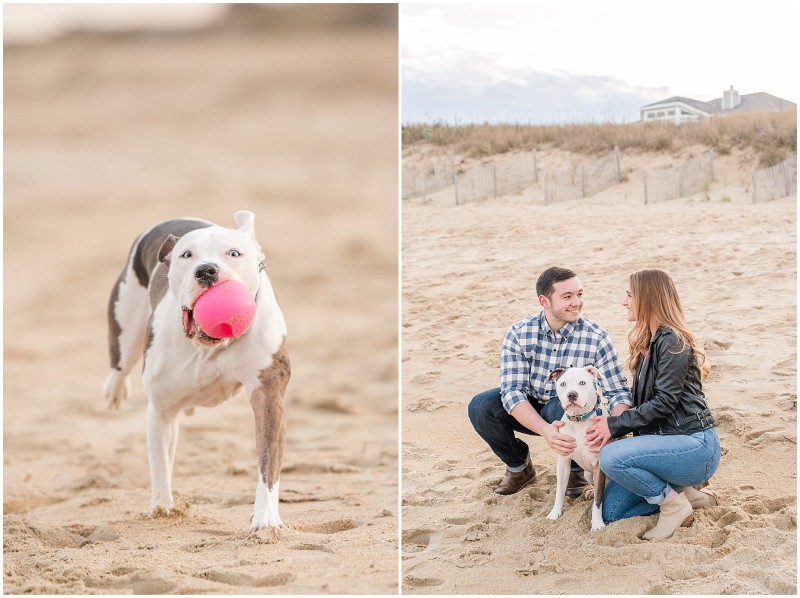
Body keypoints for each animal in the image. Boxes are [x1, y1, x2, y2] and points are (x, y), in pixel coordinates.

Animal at [103, 212, 290, 536]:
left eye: (234, 253)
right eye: (186, 255)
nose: (206, 271)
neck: (210, 346)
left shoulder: (268, 396)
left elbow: (267, 464)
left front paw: (265, 518)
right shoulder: (161, 408)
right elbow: (160, 463)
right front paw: (163, 509)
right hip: (125, 328)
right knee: (120, 364)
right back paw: (114, 390)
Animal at [548, 368, 608, 532]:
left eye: (582, 383)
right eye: (563, 384)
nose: (572, 395)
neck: (580, 421)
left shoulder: (599, 464)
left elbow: (599, 499)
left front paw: (597, 524)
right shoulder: (563, 461)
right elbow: (559, 492)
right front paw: (554, 513)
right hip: (587, 474)